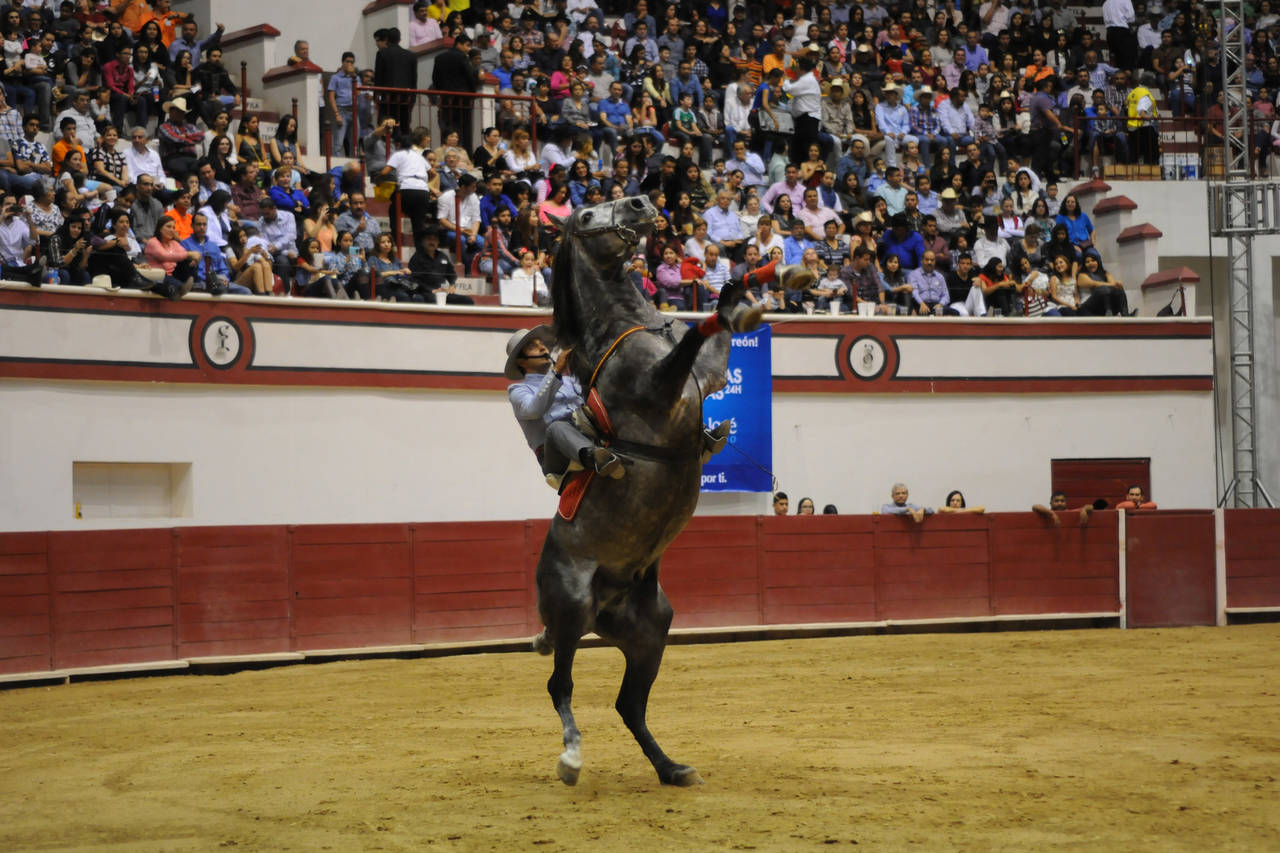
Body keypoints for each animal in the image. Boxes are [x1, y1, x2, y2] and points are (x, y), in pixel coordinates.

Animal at [535, 195, 762, 788]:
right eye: (586, 215)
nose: (640, 202)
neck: (633, 325)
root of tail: (604, 607)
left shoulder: (707, 376)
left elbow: (714, 342)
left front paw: (738, 295)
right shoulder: (658, 386)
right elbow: (691, 343)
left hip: (650, 632)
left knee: (629, 705)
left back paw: (672, 768)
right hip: (570, 609)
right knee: (561, 685)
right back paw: (571, 758)